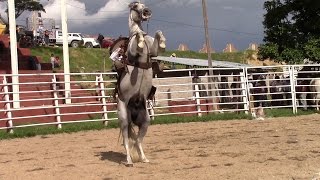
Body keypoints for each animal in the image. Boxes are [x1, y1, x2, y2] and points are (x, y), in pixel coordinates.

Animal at [117, 2, 166, 167]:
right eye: (135, 5)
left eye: (144, 4)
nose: (146, 11)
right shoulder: (133, 53)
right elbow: (137, 42)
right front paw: (138, 39)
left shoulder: (153, 51)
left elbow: (158, 34)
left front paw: (162, 42)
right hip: (124, 119)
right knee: (126, 140)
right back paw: (129, 161)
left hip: (145, 121)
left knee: (138, 141)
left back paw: (144, 158)